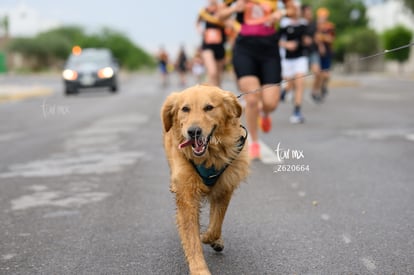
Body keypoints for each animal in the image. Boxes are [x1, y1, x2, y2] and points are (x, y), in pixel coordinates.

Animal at [160, 84, 247, 275]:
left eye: (209, 107)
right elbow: (192, 239)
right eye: (185, 109)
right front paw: (199, 269)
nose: (193, 132)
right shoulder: (187, 194)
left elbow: (216, 224)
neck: (209, 157)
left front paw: (209, 237)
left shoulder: (224, 187)